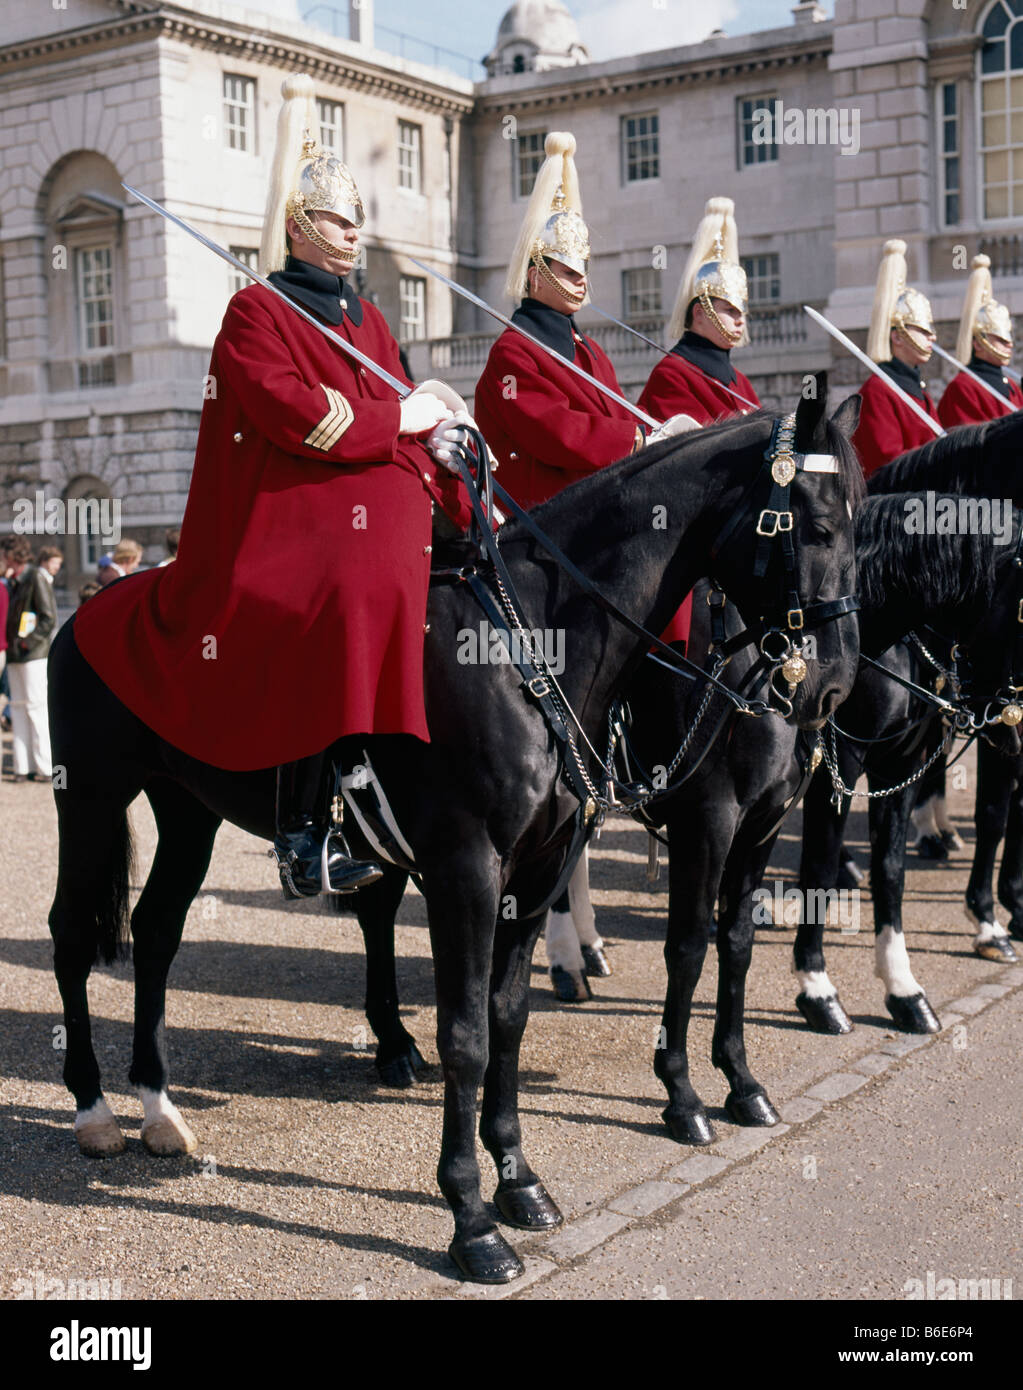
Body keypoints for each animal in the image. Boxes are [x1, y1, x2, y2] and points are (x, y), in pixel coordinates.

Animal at [50, 380, 861, 1278]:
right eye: (818, 527)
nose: (830, 686)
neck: (529, 641)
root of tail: (87, 606)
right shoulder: (481, 864)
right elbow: (469, 1032)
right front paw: (471, 1218)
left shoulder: (542, 867)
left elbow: (509, 1016)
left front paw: (519, 1180)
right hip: (89, 798)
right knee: (71, 936)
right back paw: (94, 1110)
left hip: (187, 809)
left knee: (157, 932)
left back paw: (159, 1109)